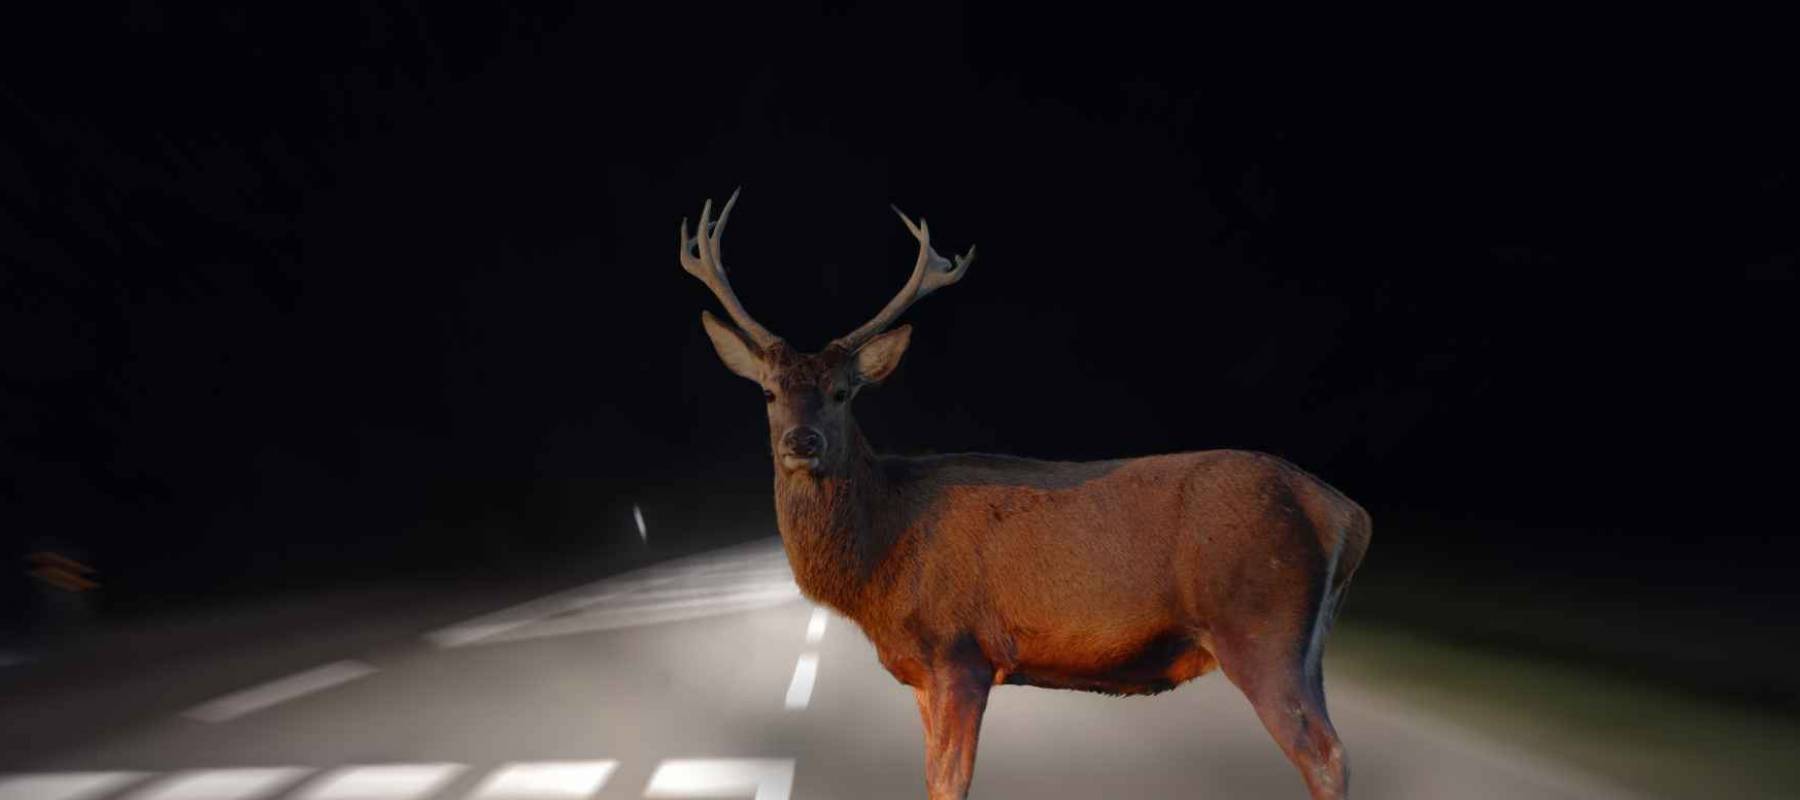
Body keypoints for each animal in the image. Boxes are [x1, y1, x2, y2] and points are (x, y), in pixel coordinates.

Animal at [680, 188, 1373, 800]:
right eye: (769, 391)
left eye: (843, 392)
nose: (802, 441)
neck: (881, 553)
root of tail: (1346, 513)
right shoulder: (923, 671)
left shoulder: (960, 649)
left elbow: (949, 782)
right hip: (1304, 640)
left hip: (1260, 623)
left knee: (1327, 756)